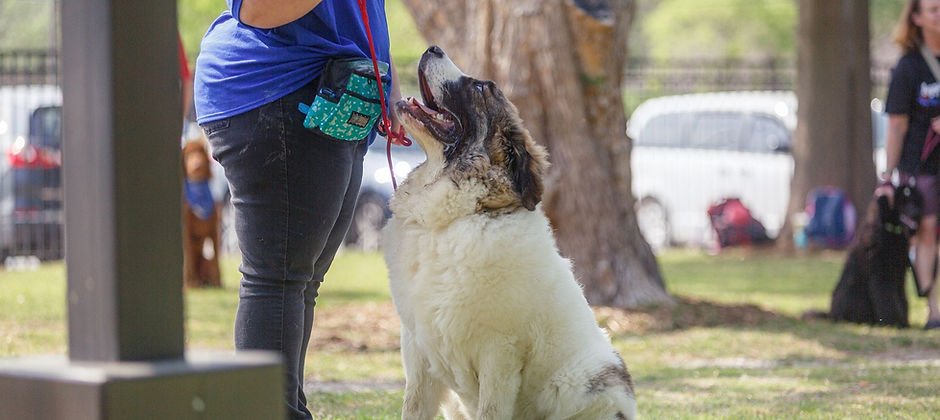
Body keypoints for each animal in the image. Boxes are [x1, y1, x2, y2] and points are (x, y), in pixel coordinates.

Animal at [182, 140, 222, 288]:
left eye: (200, 153)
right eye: (187, 155)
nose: (197, 166)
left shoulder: (215, 228)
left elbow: (216, 256)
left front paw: (218, 282)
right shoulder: (185, 229)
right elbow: (188, 258)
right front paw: (190, 283)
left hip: (205, 260)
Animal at [382, 46, 640, 420]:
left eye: (481, 88)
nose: (434, 48)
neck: (453, 220)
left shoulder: (498, 353)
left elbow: (491, 409)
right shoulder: (417, 352)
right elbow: (413, 408)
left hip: (582, 381)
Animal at [804, 183, 920, 328]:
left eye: (914, 200)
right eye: (902, 201)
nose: (916, 213)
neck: (888, 228)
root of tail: (830, 315)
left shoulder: (899, 275)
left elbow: (901, 299)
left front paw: (904, 322)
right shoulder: (881, 275)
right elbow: (887, 300)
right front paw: (895, 323)